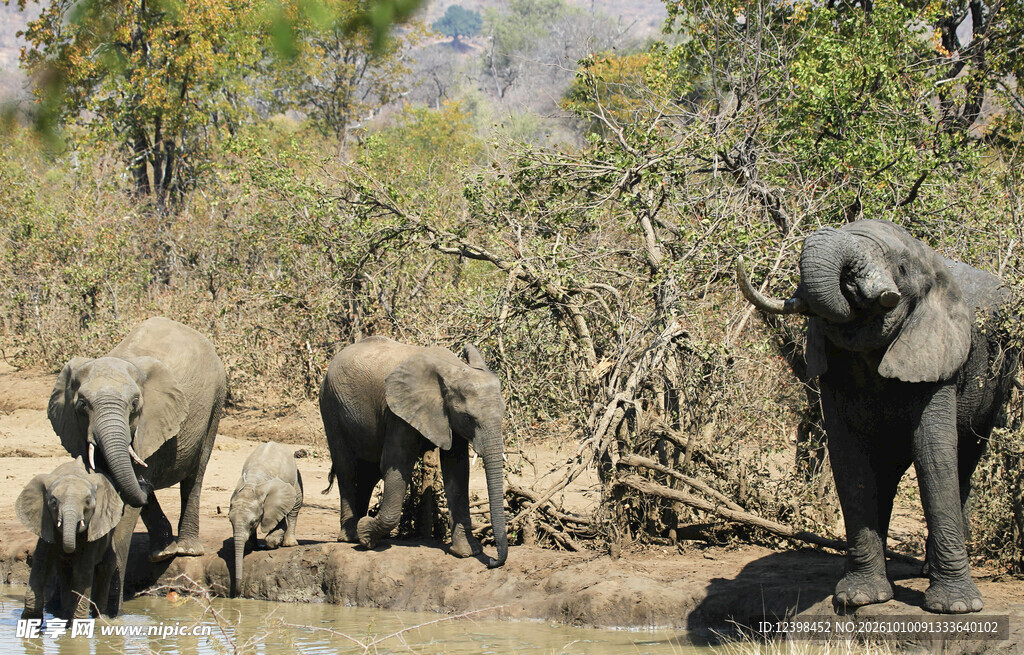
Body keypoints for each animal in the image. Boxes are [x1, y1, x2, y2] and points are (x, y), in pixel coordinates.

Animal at [16, 458, 123, 619]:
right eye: (53, 502)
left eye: (88, 502)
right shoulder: (44, 521)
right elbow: (41, 562)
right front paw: (31, 618)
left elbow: (82, 569)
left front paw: (78, 622)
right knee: (65, 571)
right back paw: (65, 615)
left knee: (106, 566)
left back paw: (101, 617)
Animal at [48, 317, 226, 613]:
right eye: (82, 404)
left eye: (134, 404)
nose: (144, 483)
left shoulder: (150, 423)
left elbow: (125, 509)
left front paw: (110, 613)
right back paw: (163, 553)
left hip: (216, 400)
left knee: (196, 473)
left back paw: (187, 550)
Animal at [229, 441, 303, 597]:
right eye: (230, 522)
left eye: (253, 522)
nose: (237, 594)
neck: (252, 483)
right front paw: (250, 546)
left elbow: (279, 519)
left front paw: (273, 543)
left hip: (295, 478)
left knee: (295, 507)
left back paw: (289, 544)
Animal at [319, 336, 508, 568]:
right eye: (468, 417)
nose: (492, 562)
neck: (453, 369)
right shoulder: (397, 414)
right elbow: (397, 463)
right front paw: (366, 536)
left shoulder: (447, 418)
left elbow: (457, 470)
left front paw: (466, 553)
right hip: (330, 406)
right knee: (347, 469)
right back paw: (351, 536)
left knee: (368, 474)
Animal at [737, 218, 1018, 614]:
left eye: (900, 268)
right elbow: (850, 461)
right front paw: (859, 597)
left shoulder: (939, 358)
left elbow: (933, 456)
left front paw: (957, 607)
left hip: (997, 383)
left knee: (964, 459)